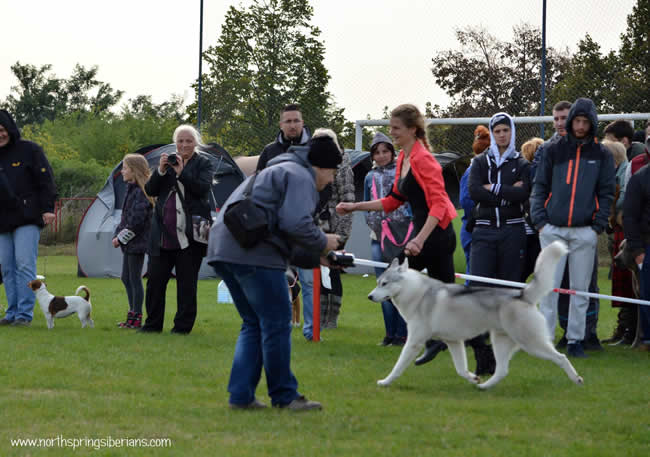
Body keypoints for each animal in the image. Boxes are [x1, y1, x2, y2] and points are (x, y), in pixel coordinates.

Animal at [368, 239, 584, 388]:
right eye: (378, 283)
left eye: (384, 283)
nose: (369, 296)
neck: (416, 292)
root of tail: (522, 295)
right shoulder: (454, 342)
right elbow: (461, 369)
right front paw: (473, 378)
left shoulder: (414, 342)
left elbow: (398, 366)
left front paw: (385, 382)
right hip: (500, 342)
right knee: (502, 370)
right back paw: (484, 387)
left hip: (531, 343)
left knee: (561, 358)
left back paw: (576, 379)